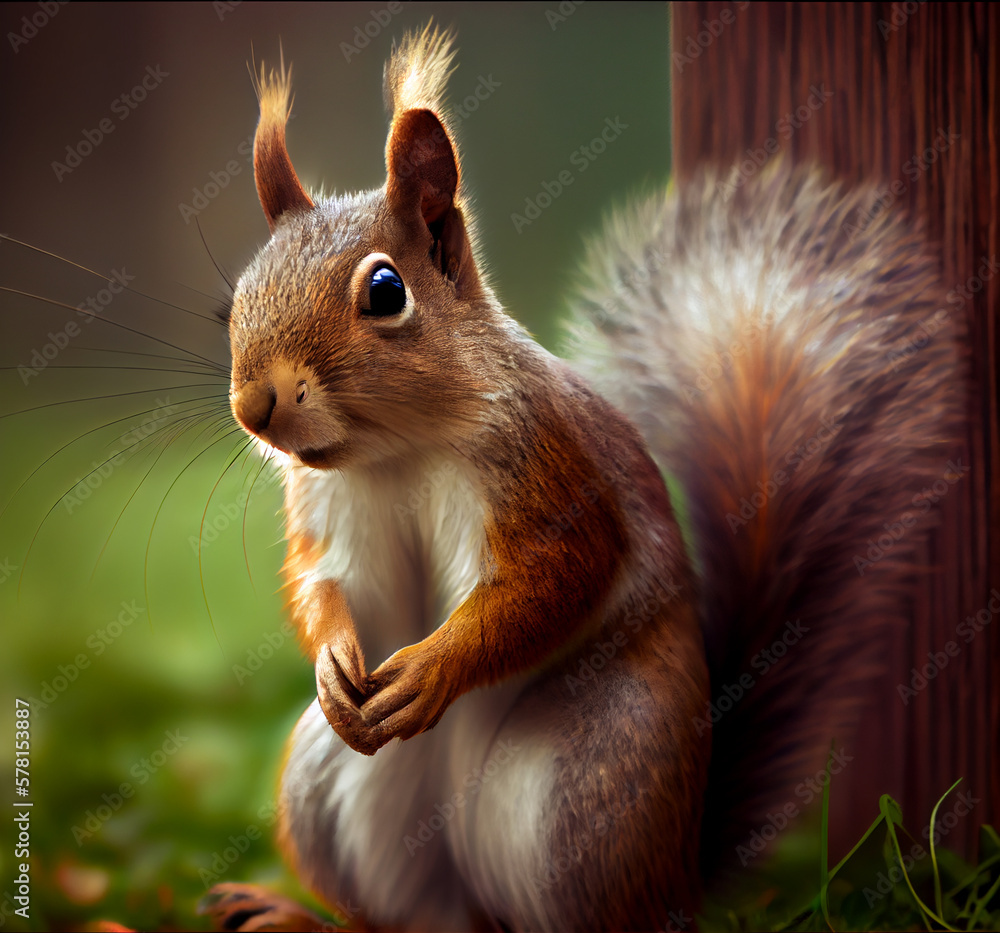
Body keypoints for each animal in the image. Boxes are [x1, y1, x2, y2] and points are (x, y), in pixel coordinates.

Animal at [208, 25, 963, 933]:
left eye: (386, 291)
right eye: (237, 299)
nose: (254, 405)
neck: (398, 449)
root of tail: (679, 874)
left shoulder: (548, 467)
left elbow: (553, 581)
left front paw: (431, 669)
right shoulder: (328, 508)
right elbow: (322, 585)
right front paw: (332, 659)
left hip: (592, 790)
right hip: (332, 782)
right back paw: (297, 915)